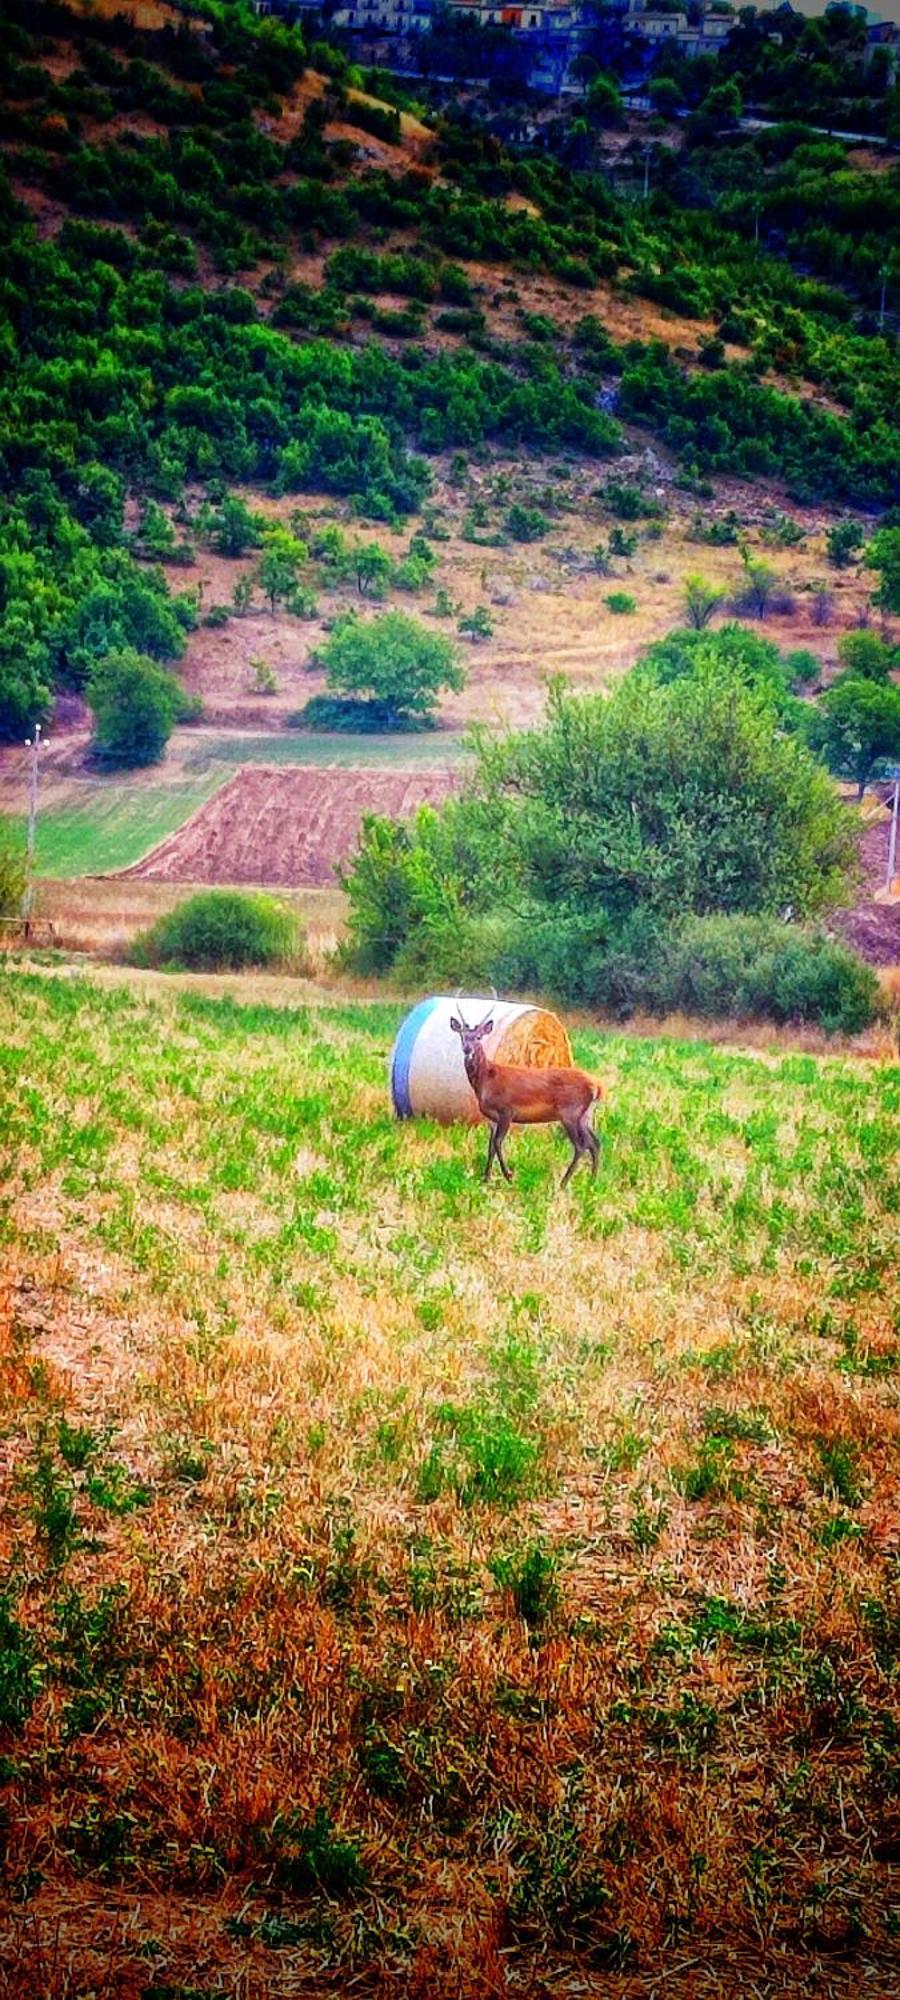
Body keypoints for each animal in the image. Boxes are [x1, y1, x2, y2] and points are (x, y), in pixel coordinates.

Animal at [450, 1000, 604, 1184]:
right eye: (462, 1036)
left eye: (479, 1037)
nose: (467, 1049)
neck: (486, 1082)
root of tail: (596, 1086)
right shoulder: (492, 1118)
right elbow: (490, 1146)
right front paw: (486, 1178)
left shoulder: (507, 1110)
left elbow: (498, 1142)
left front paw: (508, 1176)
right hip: (586, 1115)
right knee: (595, 1142)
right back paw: (592, 1181)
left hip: (570, 1112)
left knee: (581, 1145)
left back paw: (564, 1182)